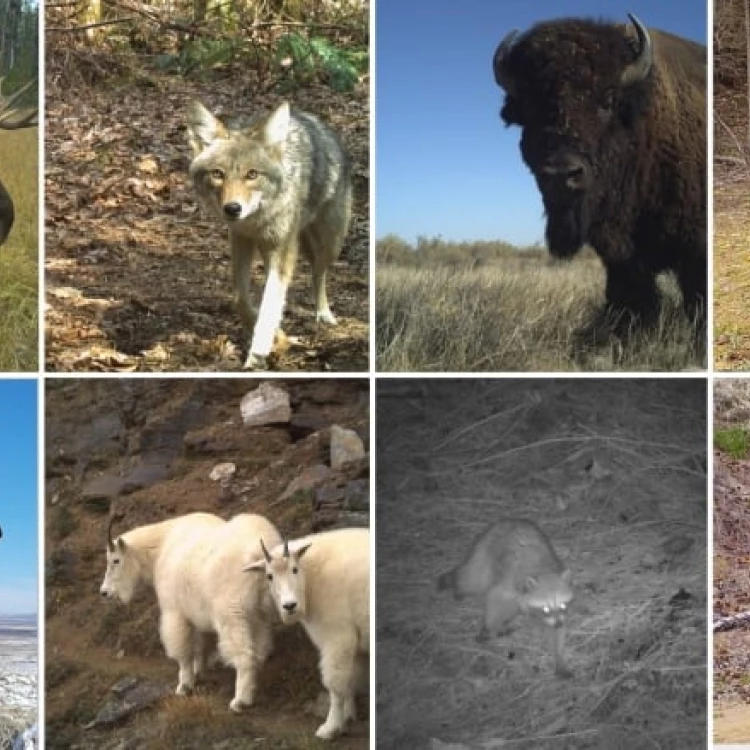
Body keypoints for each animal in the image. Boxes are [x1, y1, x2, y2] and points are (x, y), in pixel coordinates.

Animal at [101, 512, 284, 712]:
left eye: (115, 560)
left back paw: (240, 700)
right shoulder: (194, 613)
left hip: (233, 614)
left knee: (244, 655)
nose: (104, 592)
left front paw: (184, 685)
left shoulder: (174, 611)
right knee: (260, 647)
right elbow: (198, 643)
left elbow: (182, 650)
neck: (161, 548)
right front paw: (199, 669)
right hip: (260, 613)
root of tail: (259, 556)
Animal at [247, 528, 370, 740]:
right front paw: (348, 716)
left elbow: (335, 684)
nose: (289, 606)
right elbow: (350, 681)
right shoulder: (355, 645)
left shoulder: (338, 637)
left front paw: (330, 728)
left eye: (294, 569)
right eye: (269, 576)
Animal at [496, 15, 708, 338]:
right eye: (532, 107)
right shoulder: (622, 259)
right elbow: (630, 298)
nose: (562, 173)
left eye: (607, 101)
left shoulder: (696, 250)